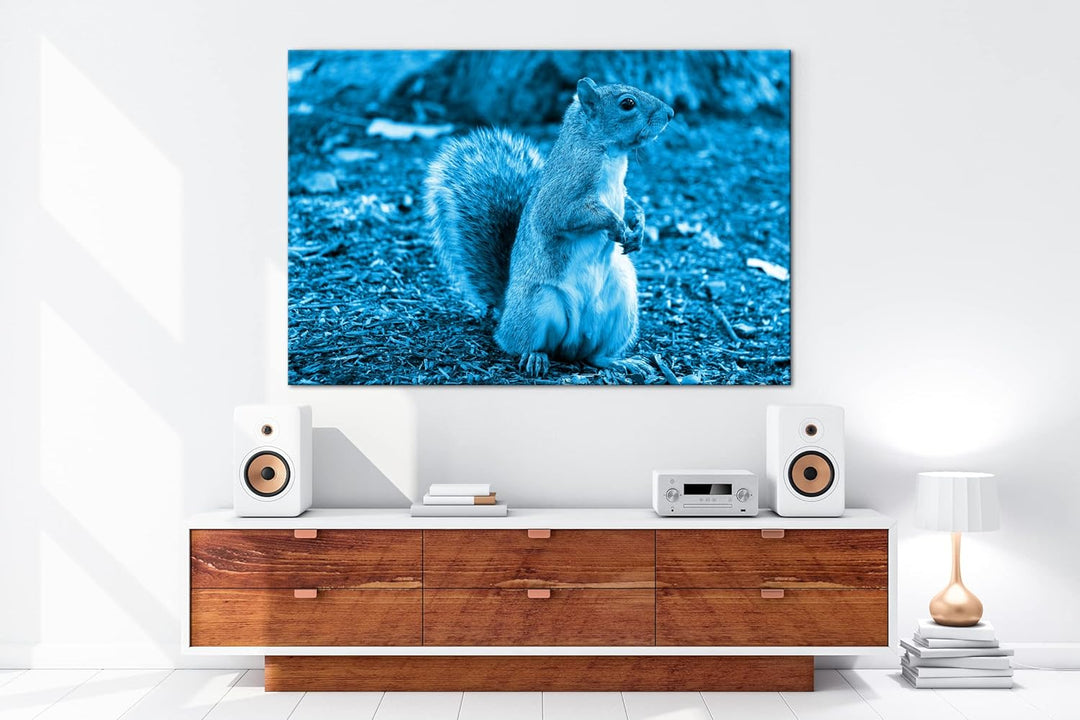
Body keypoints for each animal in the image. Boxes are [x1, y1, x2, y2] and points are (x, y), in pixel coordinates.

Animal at [424, 77, 674, 376]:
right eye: (627, 104)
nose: (670, 113)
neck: (610, 155)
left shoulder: (620, 192)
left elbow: (630, 204)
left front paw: (639, 228)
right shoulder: (563, 193)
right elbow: (565, 215)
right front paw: (617, 224)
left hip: (622, 307)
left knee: (596, 356)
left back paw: (620, 361)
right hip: (538, 307)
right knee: (519, 344)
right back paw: (535, 357)